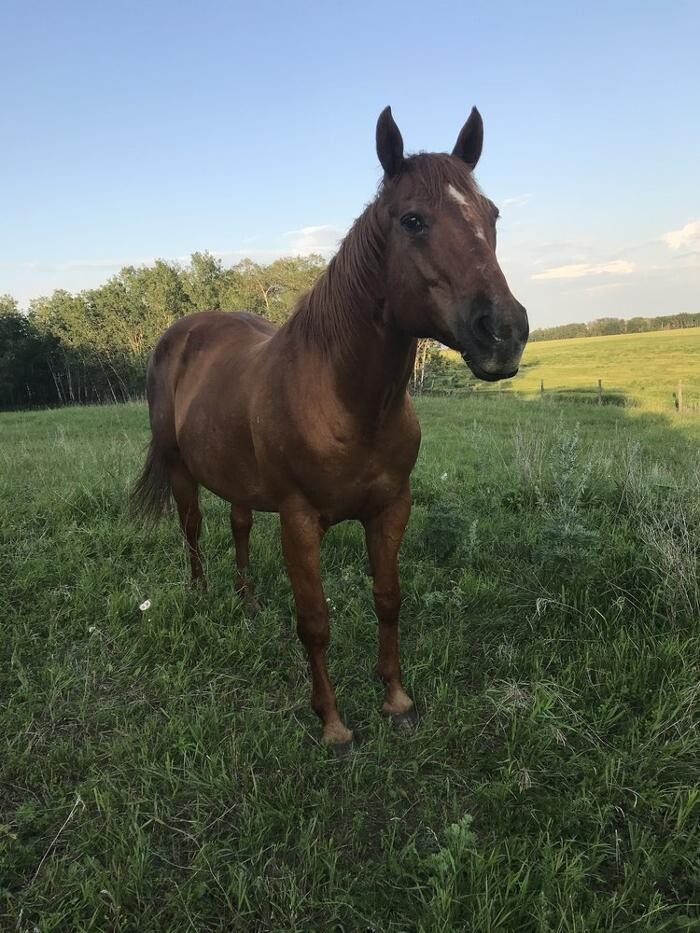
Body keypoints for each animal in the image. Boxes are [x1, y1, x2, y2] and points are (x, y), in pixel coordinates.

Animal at [131, 105, 528, 752]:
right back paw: (203, 598)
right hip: (180, 471)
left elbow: (388, 600)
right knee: (192, 531)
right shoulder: (299, 521)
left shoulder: (391, 509)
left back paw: (247, 603)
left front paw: (396, 700)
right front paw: (334, 725)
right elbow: (314, 622)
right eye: (413, 220)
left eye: (491, 215)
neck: (346, 401)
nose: (504, 332)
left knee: (239, 526)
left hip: (239, 481)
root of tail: (180, 332)